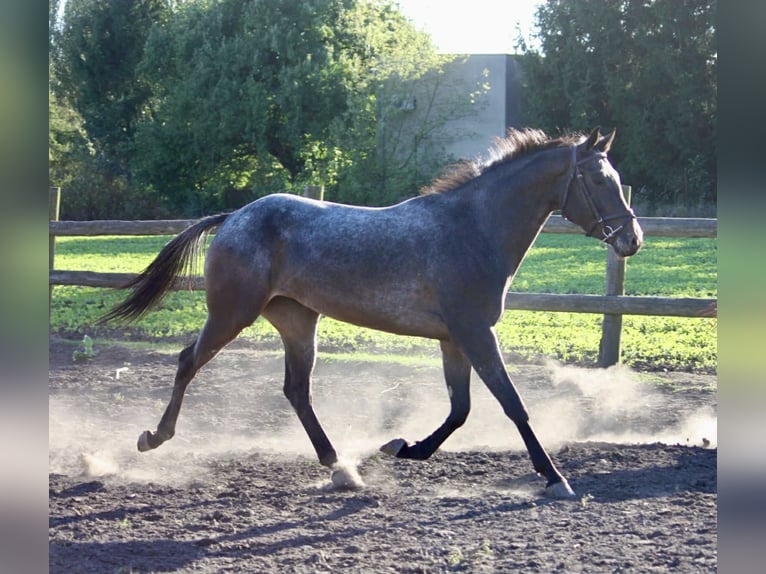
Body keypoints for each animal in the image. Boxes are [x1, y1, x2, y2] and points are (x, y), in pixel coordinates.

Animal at [100, 127, 643, 498]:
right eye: (598, 178)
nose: (632, 239)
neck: (473, 229)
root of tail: (234, 217)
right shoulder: (475, 332)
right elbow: (512, 404)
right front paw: (554, 477)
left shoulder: (455, 338)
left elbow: (461, 410)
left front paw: (402, 447)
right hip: (232, 313)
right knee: (188, 362)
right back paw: (153, 438)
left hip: (298, 321)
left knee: (296, 390)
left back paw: (340, 466)